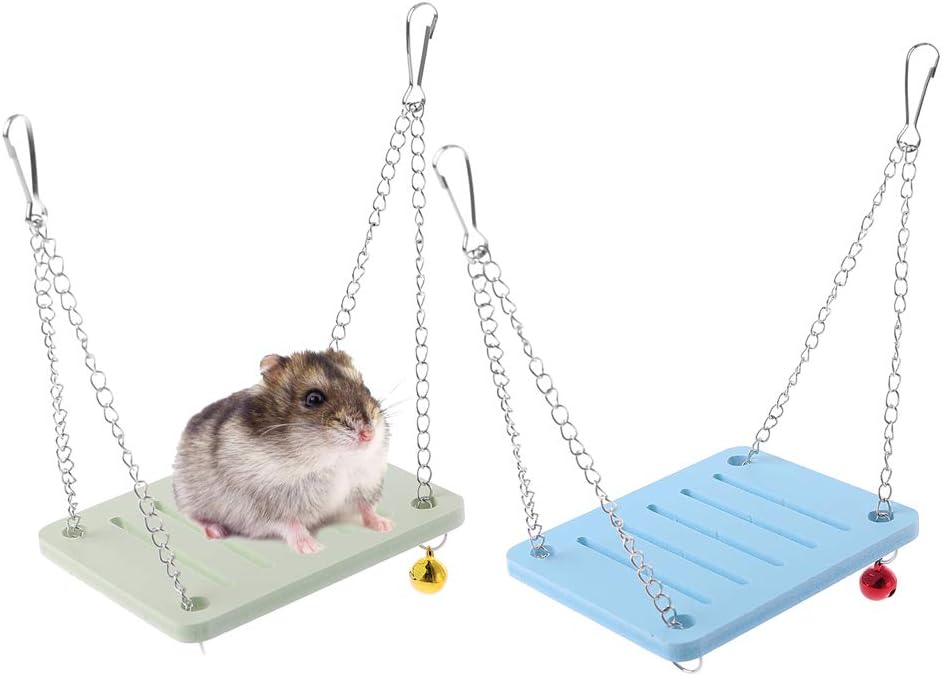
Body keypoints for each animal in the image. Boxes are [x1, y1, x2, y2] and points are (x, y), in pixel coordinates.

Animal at [172, 349, 393, 554]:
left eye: (366, 389)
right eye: (314, 399)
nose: (368, 434)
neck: (332, 461)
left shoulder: (364, 484)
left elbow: (366, 507)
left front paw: (386, 525)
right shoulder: (265, 504)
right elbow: (290, 523)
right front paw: (312, 548)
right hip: (189, 494)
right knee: (190, 514)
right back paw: (216, 531)